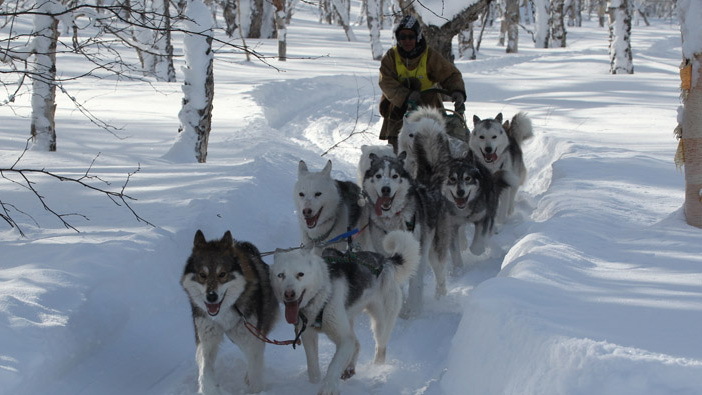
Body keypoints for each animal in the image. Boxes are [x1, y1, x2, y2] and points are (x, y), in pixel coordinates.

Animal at [182, 230, 280, 394]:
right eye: (202, 275)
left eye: (222, 274)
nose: (211, 296)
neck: (222, 315)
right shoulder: (207, 339)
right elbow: (205, 371)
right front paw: (210, 388)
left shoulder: (251, 337)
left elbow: (255, 371)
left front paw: (255, 388)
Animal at [272, 230, 420, 394]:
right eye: (281, 275)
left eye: (300, 274)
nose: (289, 294)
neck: (322, 293)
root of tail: (386, 261)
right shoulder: (308, 335)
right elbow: (313, 367)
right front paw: (314, 383)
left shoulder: (344, 340)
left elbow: (333, 365)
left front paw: (328, 388)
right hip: (347, 320)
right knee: (357, 343)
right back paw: (349, 368)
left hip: (380, 324)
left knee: (379, 349)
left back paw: (377, 370)